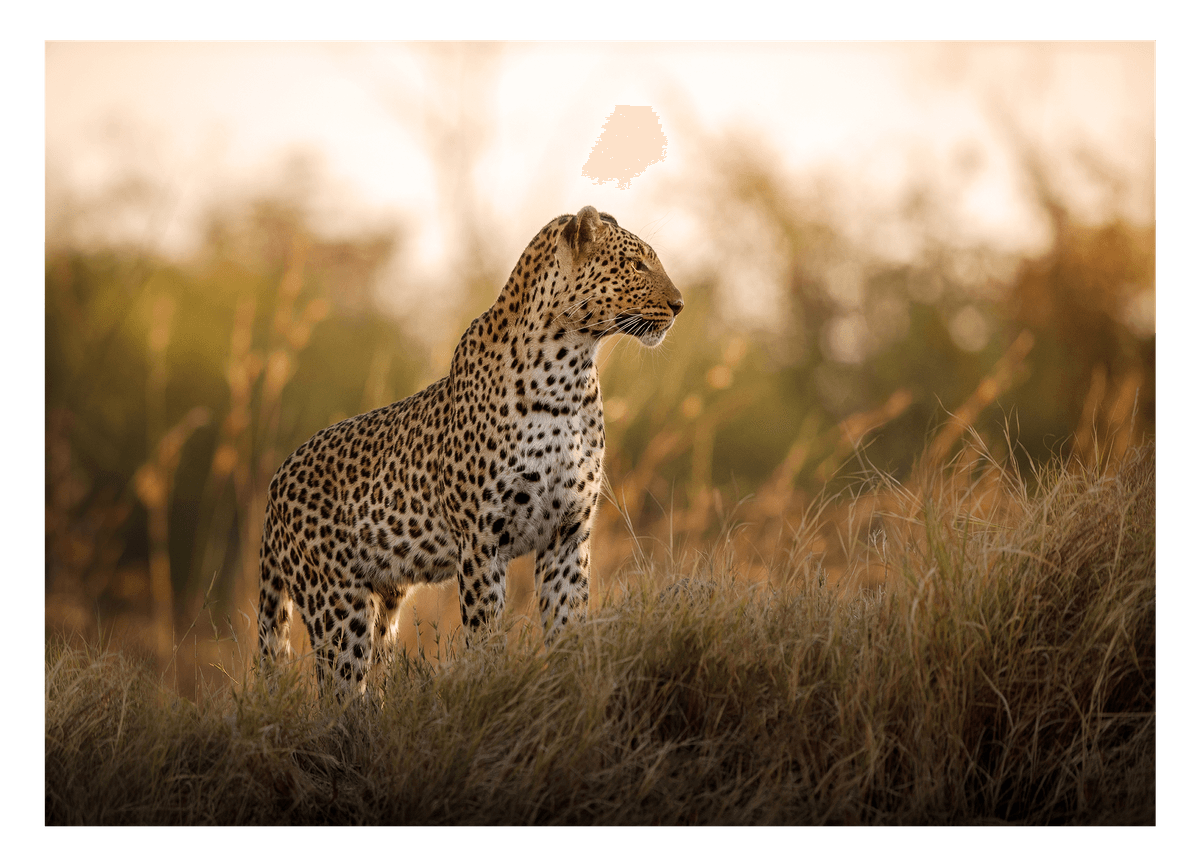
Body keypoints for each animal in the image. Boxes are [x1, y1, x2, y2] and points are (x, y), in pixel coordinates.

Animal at [257, 205, 683, 693]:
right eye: (636, 265)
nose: (679, 304)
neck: (568, 373)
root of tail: (276, 483)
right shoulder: (482, 540)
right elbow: (485, 634)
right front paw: (493, 685)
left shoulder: (568, 534)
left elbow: (567, 625)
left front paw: (570, 686)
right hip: (336, 604)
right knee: (339, 689)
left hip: (384, 599)